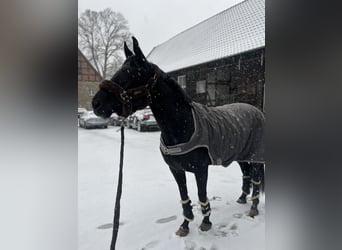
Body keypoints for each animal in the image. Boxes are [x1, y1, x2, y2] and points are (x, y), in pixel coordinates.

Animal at [92, 36, 266, 236]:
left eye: (131, 73)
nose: (96, 103)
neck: (183, 126)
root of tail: (257, 111)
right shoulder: (176, 170)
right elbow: (184, 197)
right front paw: (185, 226)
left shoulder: (201, 170)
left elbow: (201, 195)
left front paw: (205, 223)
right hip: (241, 155)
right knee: (246, 175)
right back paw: (242, 198)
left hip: (255, 157)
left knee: (256, 179)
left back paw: (253, 208)